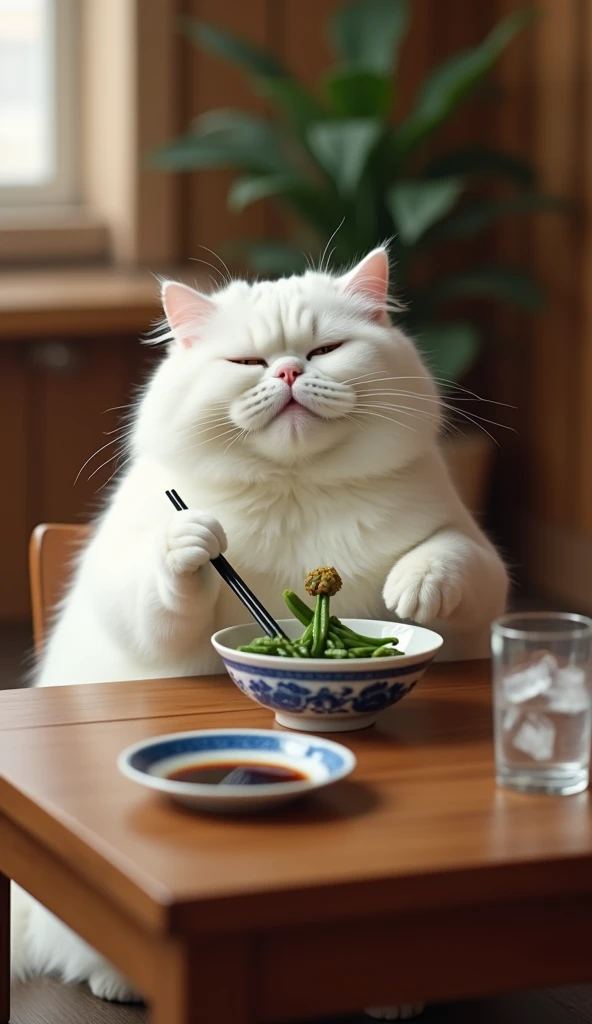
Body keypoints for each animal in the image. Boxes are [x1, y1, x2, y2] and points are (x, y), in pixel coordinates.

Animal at [11, 245, 503, 1015]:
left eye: (325, 350)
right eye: (246, 362)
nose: (290, 372)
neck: (295, 488)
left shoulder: (475, 562)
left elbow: (450, 560)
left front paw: (412, 591)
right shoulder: (140, 600)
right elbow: (166, 590)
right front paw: (193, 540)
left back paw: (393, 999)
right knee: (74, 949)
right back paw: (117, 983)